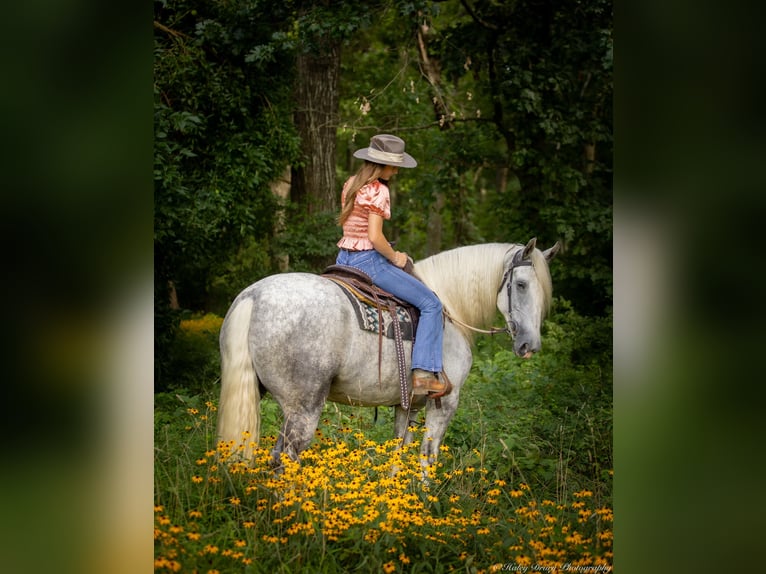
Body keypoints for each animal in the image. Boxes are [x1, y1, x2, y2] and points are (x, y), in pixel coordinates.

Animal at [219, 238, 560, 468]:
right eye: (521, 284)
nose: (530, 346)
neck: (449, 309)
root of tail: (253, 296)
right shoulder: (445, 402)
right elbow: (427, 456)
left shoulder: (406, 406)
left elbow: (399, 453)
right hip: (303, 407)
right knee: (286, 459)